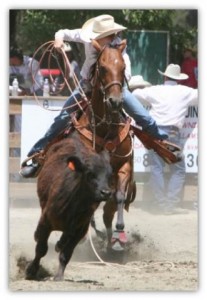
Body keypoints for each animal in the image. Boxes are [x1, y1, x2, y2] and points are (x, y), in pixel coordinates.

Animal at [72, 39, 137, 251]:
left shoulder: (124, 165)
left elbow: (119, 198)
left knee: (108, 210)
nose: (115, 101)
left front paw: (119, 235)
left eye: (123, 68)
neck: (104, 128)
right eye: (102, 68)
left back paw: (110, 240)